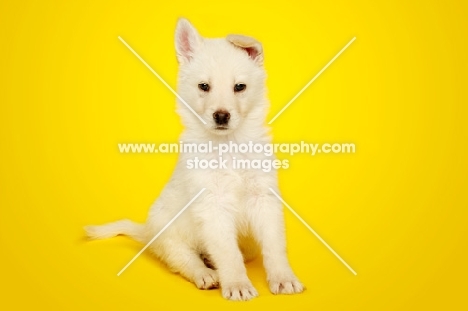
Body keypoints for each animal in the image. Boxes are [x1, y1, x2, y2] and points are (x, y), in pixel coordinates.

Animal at [85, 18, 304, 302]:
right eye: (204, 86)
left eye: (239, 87)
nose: (221, 116)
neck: (228, 146)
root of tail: (147, 232)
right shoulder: (212, 206)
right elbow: (227, 253)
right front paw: (237, 283)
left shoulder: (264, 199)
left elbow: (275, 245)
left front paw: (283, 278)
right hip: (169, 232)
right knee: (183, 259)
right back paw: (206, 273)